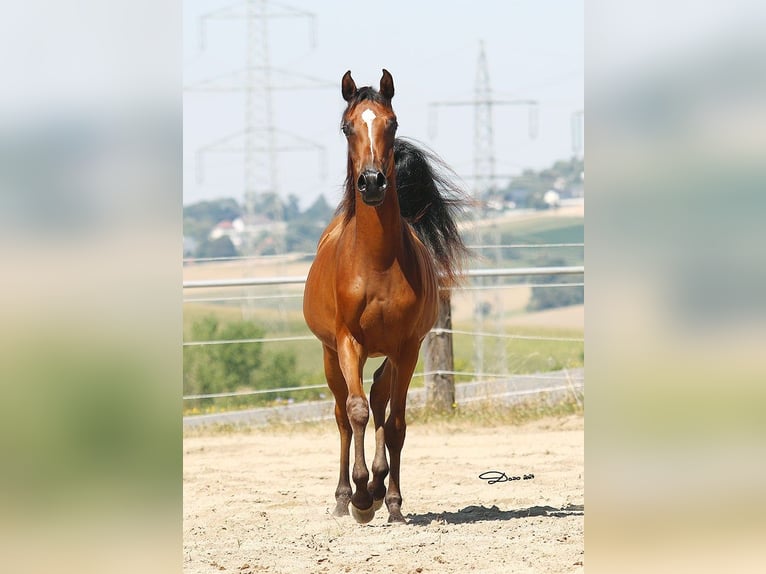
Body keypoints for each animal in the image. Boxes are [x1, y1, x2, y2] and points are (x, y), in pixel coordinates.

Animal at [304, 68, 468, 528]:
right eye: (347, 127)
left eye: (391, 124)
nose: (373, 182)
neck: (376, 263)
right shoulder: (348, 343)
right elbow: (357, 412)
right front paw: (360, 497)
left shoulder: (406, 347)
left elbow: (394, 423)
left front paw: (388, 500)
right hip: (331, 355)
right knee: (344, 417)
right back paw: (346, 497)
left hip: (389, 356)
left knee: (379, 398)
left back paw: (381, 491)